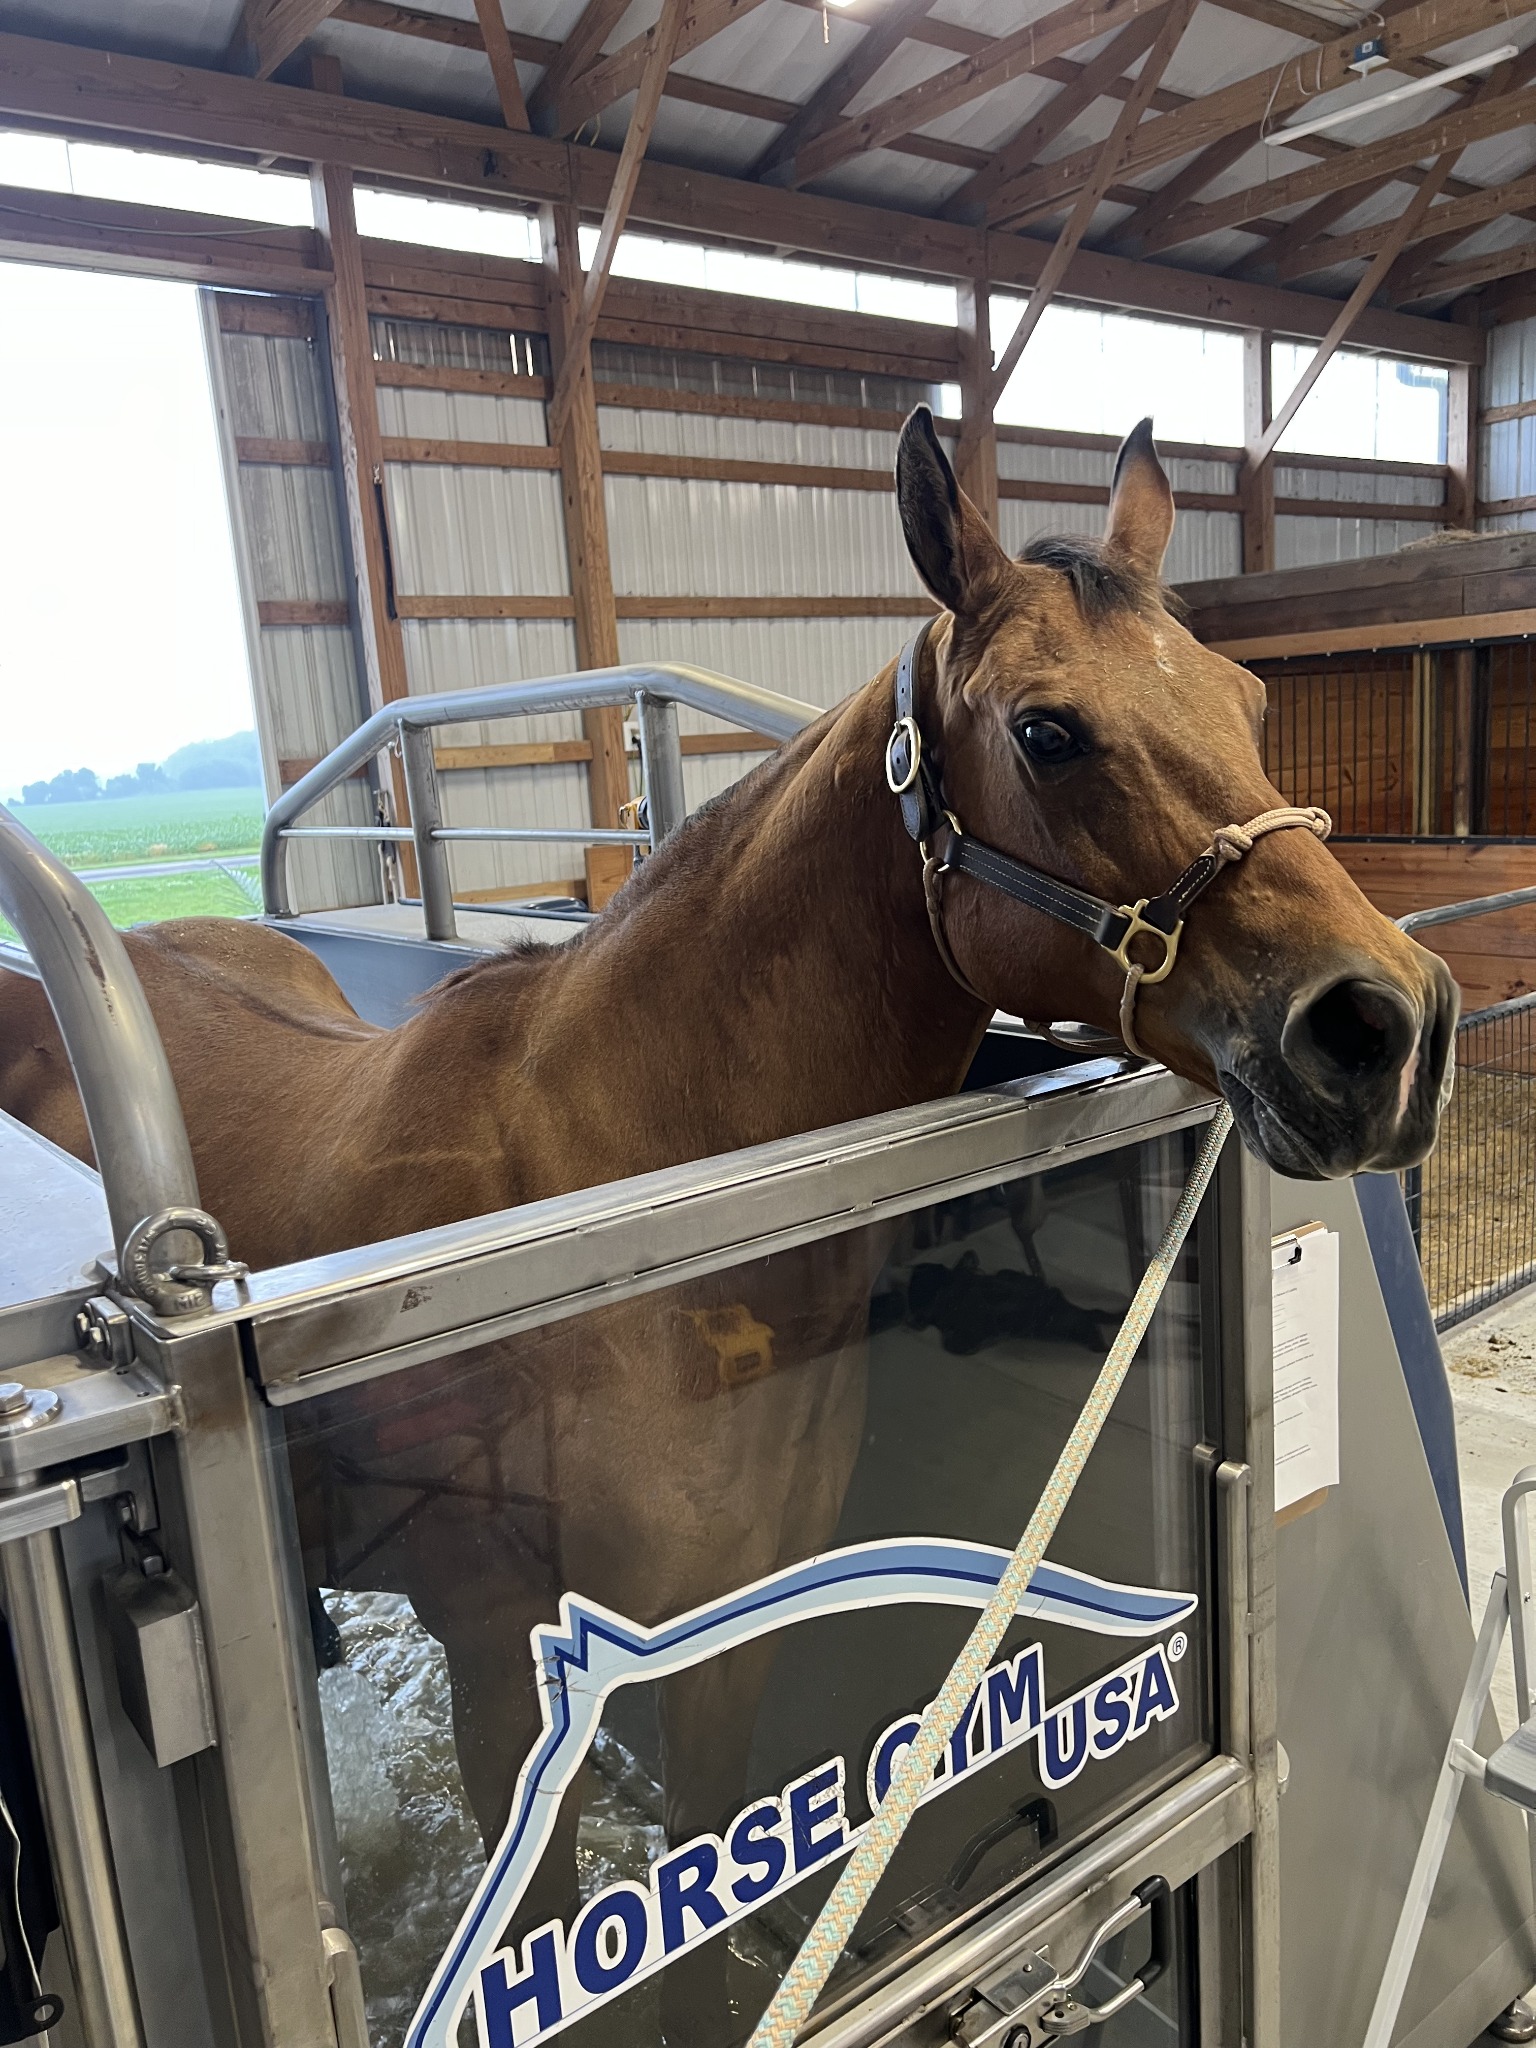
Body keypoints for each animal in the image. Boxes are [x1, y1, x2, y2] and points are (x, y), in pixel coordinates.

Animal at [1, 408, 1456, 2038]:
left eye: (1247, 697)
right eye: (1048, 732)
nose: (1386, 1026)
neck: (633, 1201)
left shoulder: (715, 1640)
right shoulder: (501, 1668)